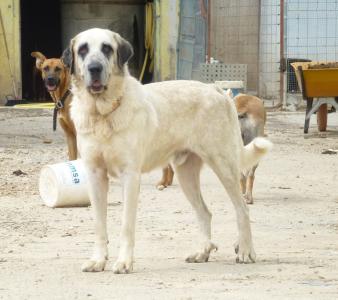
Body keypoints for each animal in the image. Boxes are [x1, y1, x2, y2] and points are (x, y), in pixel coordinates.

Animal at [61, 28, 272, 274]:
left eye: (107, 48)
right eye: (83, 49)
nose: (94, 68)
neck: (103, 113)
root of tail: (217, 90)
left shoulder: (130, 176)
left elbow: (126, 226)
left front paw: (124, 262)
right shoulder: (95, 175)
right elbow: (99, 224)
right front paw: (98, 260)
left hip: (224, 166)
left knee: (242, 209)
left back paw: (246, 250)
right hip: (185, 174)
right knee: (205, 212)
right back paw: (202, 252)